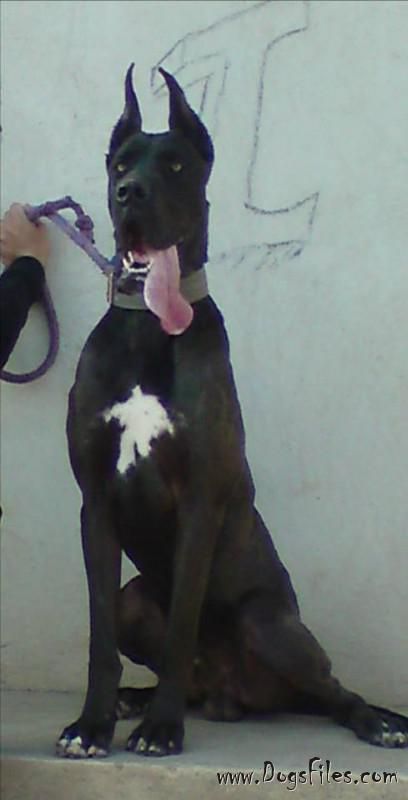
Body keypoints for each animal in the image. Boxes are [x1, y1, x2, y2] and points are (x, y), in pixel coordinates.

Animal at [57, 65, 408, 758]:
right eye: (119, 165)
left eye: (175, 165)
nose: (130, 194)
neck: (150, 328)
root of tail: (235, 696)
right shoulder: (96, 503)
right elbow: (98, 635)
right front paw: (93, 723)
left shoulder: (201, 502)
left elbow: (183, 624)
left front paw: (161, 730)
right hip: (139, 597)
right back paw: (138, 699)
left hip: (269, 622)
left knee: (331, 689)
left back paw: (375, 720)